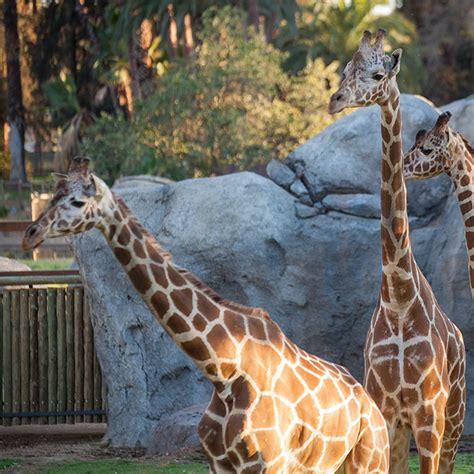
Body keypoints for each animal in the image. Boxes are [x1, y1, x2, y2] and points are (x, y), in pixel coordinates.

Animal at [22, 158, 388, 474]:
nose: (30, 234)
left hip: (370, 459)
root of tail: (370, 405)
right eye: (54, 195)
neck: (223, 370)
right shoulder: (220, 465)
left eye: (77, 202)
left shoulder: (270, 464)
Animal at [328, 30, 464, 474]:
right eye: (344, 70)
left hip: (453, 420)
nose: (335, 99)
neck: (398, 298)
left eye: (377, 74)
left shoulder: (428, 417)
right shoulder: (387, 414)